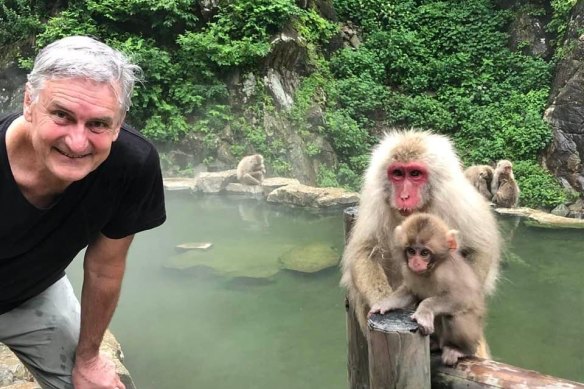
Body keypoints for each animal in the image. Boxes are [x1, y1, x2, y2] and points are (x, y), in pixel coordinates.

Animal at [372, 214, 486, 366]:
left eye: (424, 253)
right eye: (411, 251)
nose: (415, 262)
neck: (431, 269)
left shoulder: (446, 272)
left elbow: (462, 296)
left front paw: (424, 311)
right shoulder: (408, 271)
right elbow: (410, 292)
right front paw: (384, 304)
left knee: (454, 316)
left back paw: (460, 349)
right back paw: (435, 343)